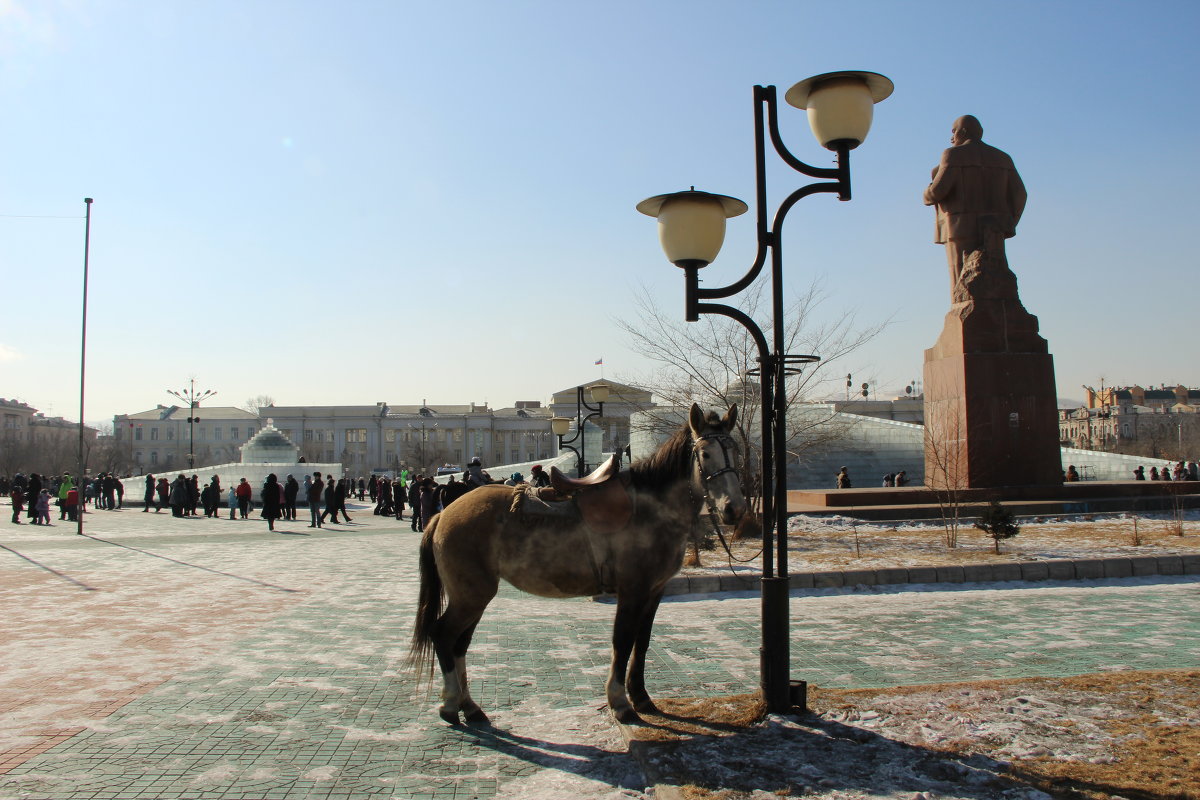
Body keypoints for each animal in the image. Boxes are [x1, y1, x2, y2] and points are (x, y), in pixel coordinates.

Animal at [415, 407, 748, 724]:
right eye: (705, 454)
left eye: (736, 451)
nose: (734, 509)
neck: (650, 507)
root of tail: (443, 515)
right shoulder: (633, 590)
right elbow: (623, 641)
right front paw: (621, 703)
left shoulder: (655, 591)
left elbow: (642, 642)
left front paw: (642, 698)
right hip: (472, 594)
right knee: (443, 635)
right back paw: (450, 705)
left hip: (473, 596)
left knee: (459, 643)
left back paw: (470, 707)